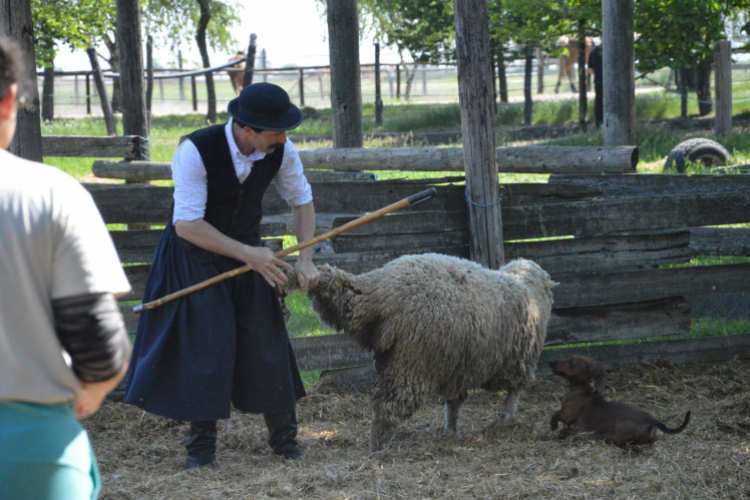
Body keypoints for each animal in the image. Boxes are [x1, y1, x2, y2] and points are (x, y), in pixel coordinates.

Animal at [288, 252, 560, 452]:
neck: (526, 286)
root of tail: (381, 288)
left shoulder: (458, 368)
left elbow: (454, 402)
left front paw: (451, 429)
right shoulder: (519, 360)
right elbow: (514, 391)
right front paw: (506, 417)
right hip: (412, 361)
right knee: (387, 407)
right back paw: (377, 445)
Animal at [548, 356, 692, 450]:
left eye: (571, 361)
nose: (550, 361)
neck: (583, 390)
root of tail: (651, 419)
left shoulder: (566, 414)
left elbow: (555, 414)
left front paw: (553, 426)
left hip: (619, 438)